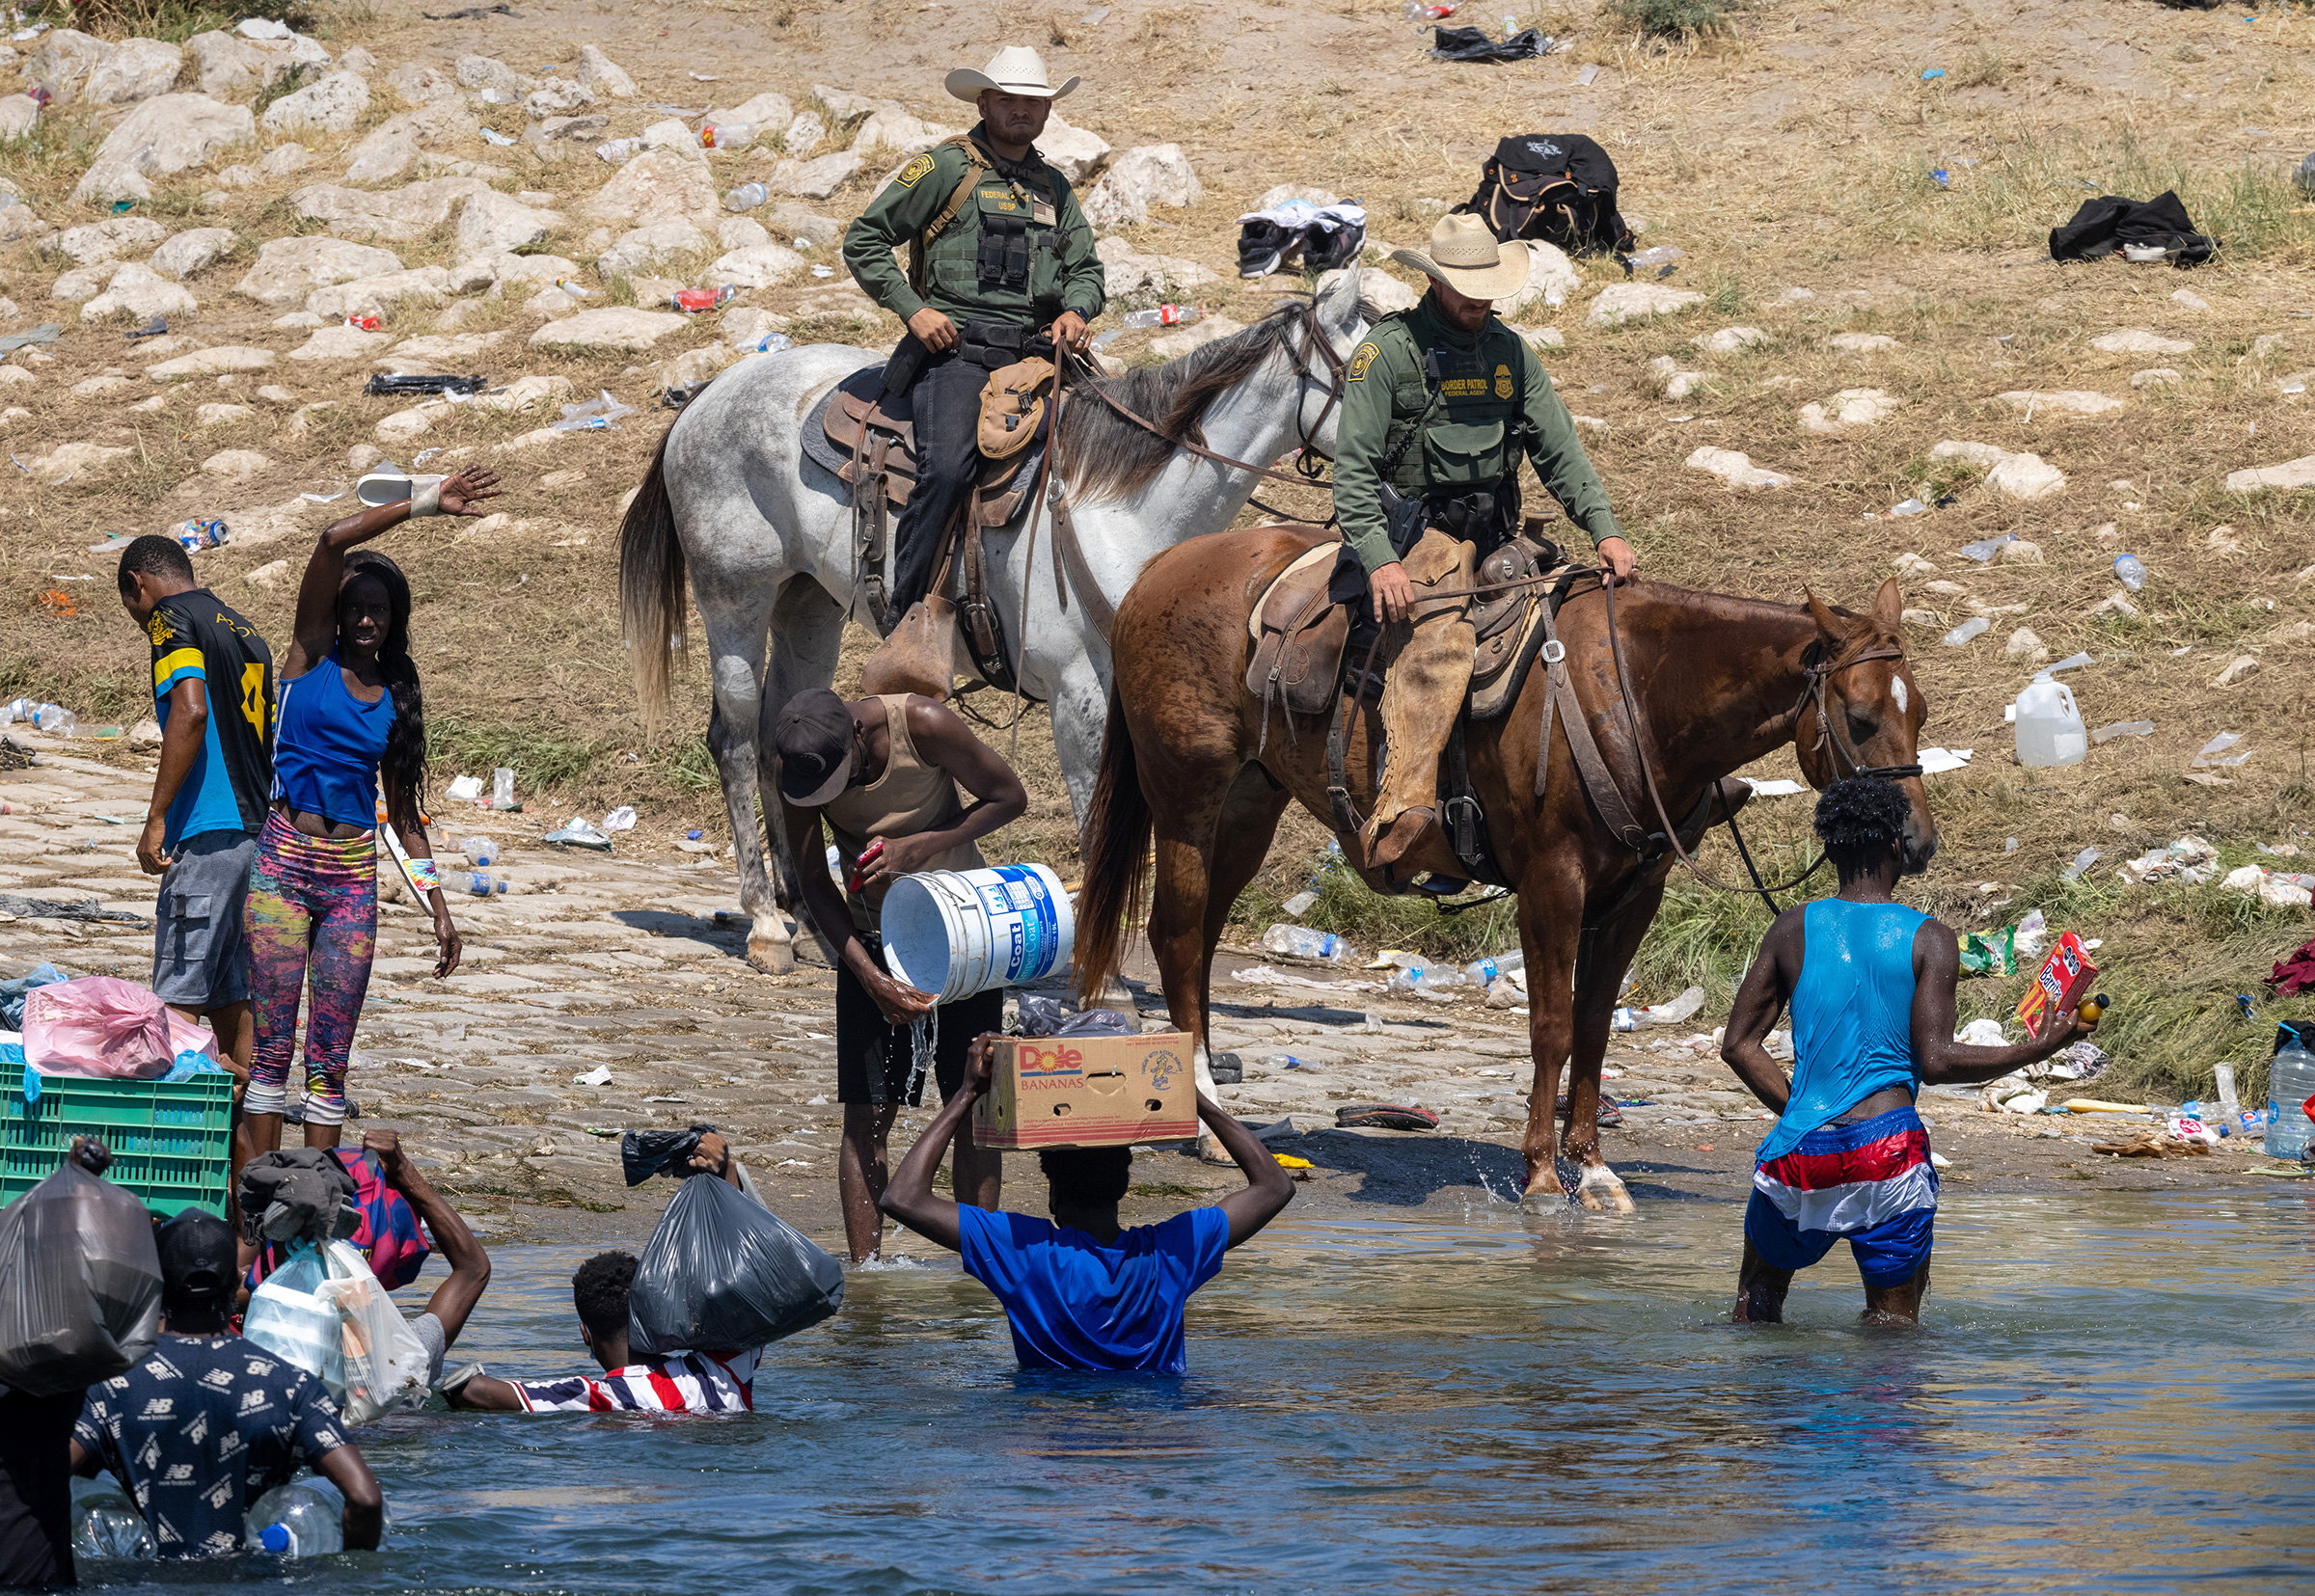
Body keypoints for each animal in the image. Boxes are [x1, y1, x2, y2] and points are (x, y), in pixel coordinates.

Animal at [620, 262, 1370, 971]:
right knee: (735, 739)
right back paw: (767, 924)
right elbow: (1095, 824)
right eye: (1368, 368)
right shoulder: (1077, 695)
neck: (1124, 512)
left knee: (780, 735)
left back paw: (807, 920)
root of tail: (709, 394)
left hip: (808, 607)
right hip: (735, 598)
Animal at [1069, 525, 1935, 1203]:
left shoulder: (1634, 896)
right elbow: (1551, 1026)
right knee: (1178, 937)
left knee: (1202, 943)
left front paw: (1596, 1168)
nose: (1916, 843)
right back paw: (1204, 1117)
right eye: (1861, 717)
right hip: (1188, 799)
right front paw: (1545, 1172)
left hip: (1250, 805)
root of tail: (1160, 569)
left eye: (1918, 712)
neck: (1633, 693)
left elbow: (1594, 1027)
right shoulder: (1552, 883)